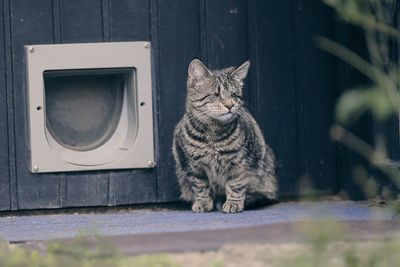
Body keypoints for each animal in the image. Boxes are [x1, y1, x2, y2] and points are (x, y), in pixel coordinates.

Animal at [172, 58, 278, 214]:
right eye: (216, 94)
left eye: (234, 95)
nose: (230, 105)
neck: (213, 132)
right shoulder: (193, 166)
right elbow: (200, 186)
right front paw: (203, 202)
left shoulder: (239, 164)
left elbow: (236, 184)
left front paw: (233, 203)